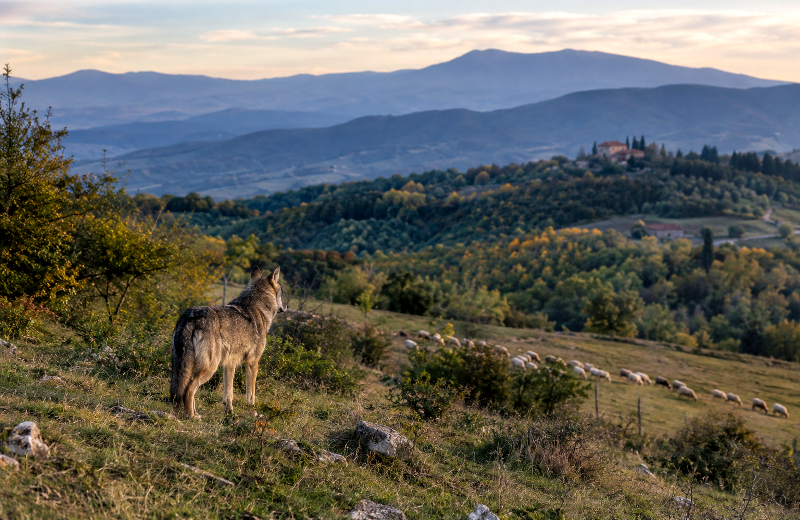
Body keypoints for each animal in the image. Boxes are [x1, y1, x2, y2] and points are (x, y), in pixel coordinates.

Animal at [170, 266, 286, 418]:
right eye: (282, 293)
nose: (286, 306)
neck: (258, 307)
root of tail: (190, 316)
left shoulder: (229, 364)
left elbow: (228, 394)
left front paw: (229, 412)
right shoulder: (252, 362)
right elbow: (251, 395)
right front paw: (253, 412)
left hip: (187, 365)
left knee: (183, 390)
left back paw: (194, 413)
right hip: (210, 367)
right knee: (189, 389)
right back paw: (191, 416)